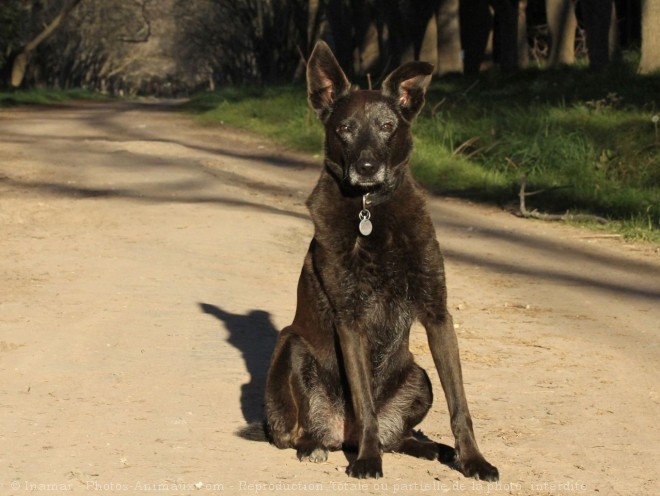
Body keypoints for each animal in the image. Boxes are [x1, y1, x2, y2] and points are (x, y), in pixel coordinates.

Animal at [266, 40, 498, 482]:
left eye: (388, 126)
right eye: (345, 129)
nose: (368, 167)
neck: (370, 208)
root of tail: (341, 435)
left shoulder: (438, 315)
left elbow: (460, 404)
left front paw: (473, 459)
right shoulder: (350, 320)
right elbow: (365, 404)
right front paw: (368, 461)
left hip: (418, 376)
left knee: (400, 435)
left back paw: (429, 447)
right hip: (292, 346)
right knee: (302, 429)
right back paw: (320, 446)